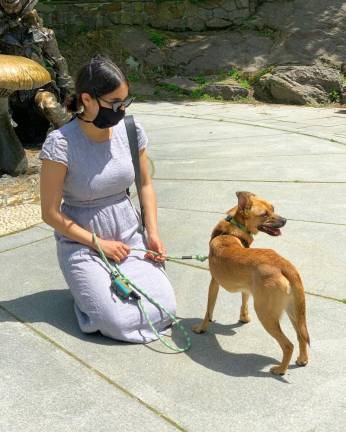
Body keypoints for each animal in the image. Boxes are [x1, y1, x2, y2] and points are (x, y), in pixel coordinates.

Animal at [193, 192, 310, 374]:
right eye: (265, 213)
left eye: (273, 209)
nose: (285, 220)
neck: (231, 232)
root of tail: (284, 264)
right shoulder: (246, 288)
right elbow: (244, 302)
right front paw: (244, 318)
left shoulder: (214, 282)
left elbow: (208, 310)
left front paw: (201, 328)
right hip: (293, 310)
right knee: (300, 335)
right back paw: (302, 359)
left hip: (266, 313)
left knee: (288, 345)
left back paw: (280, 369)